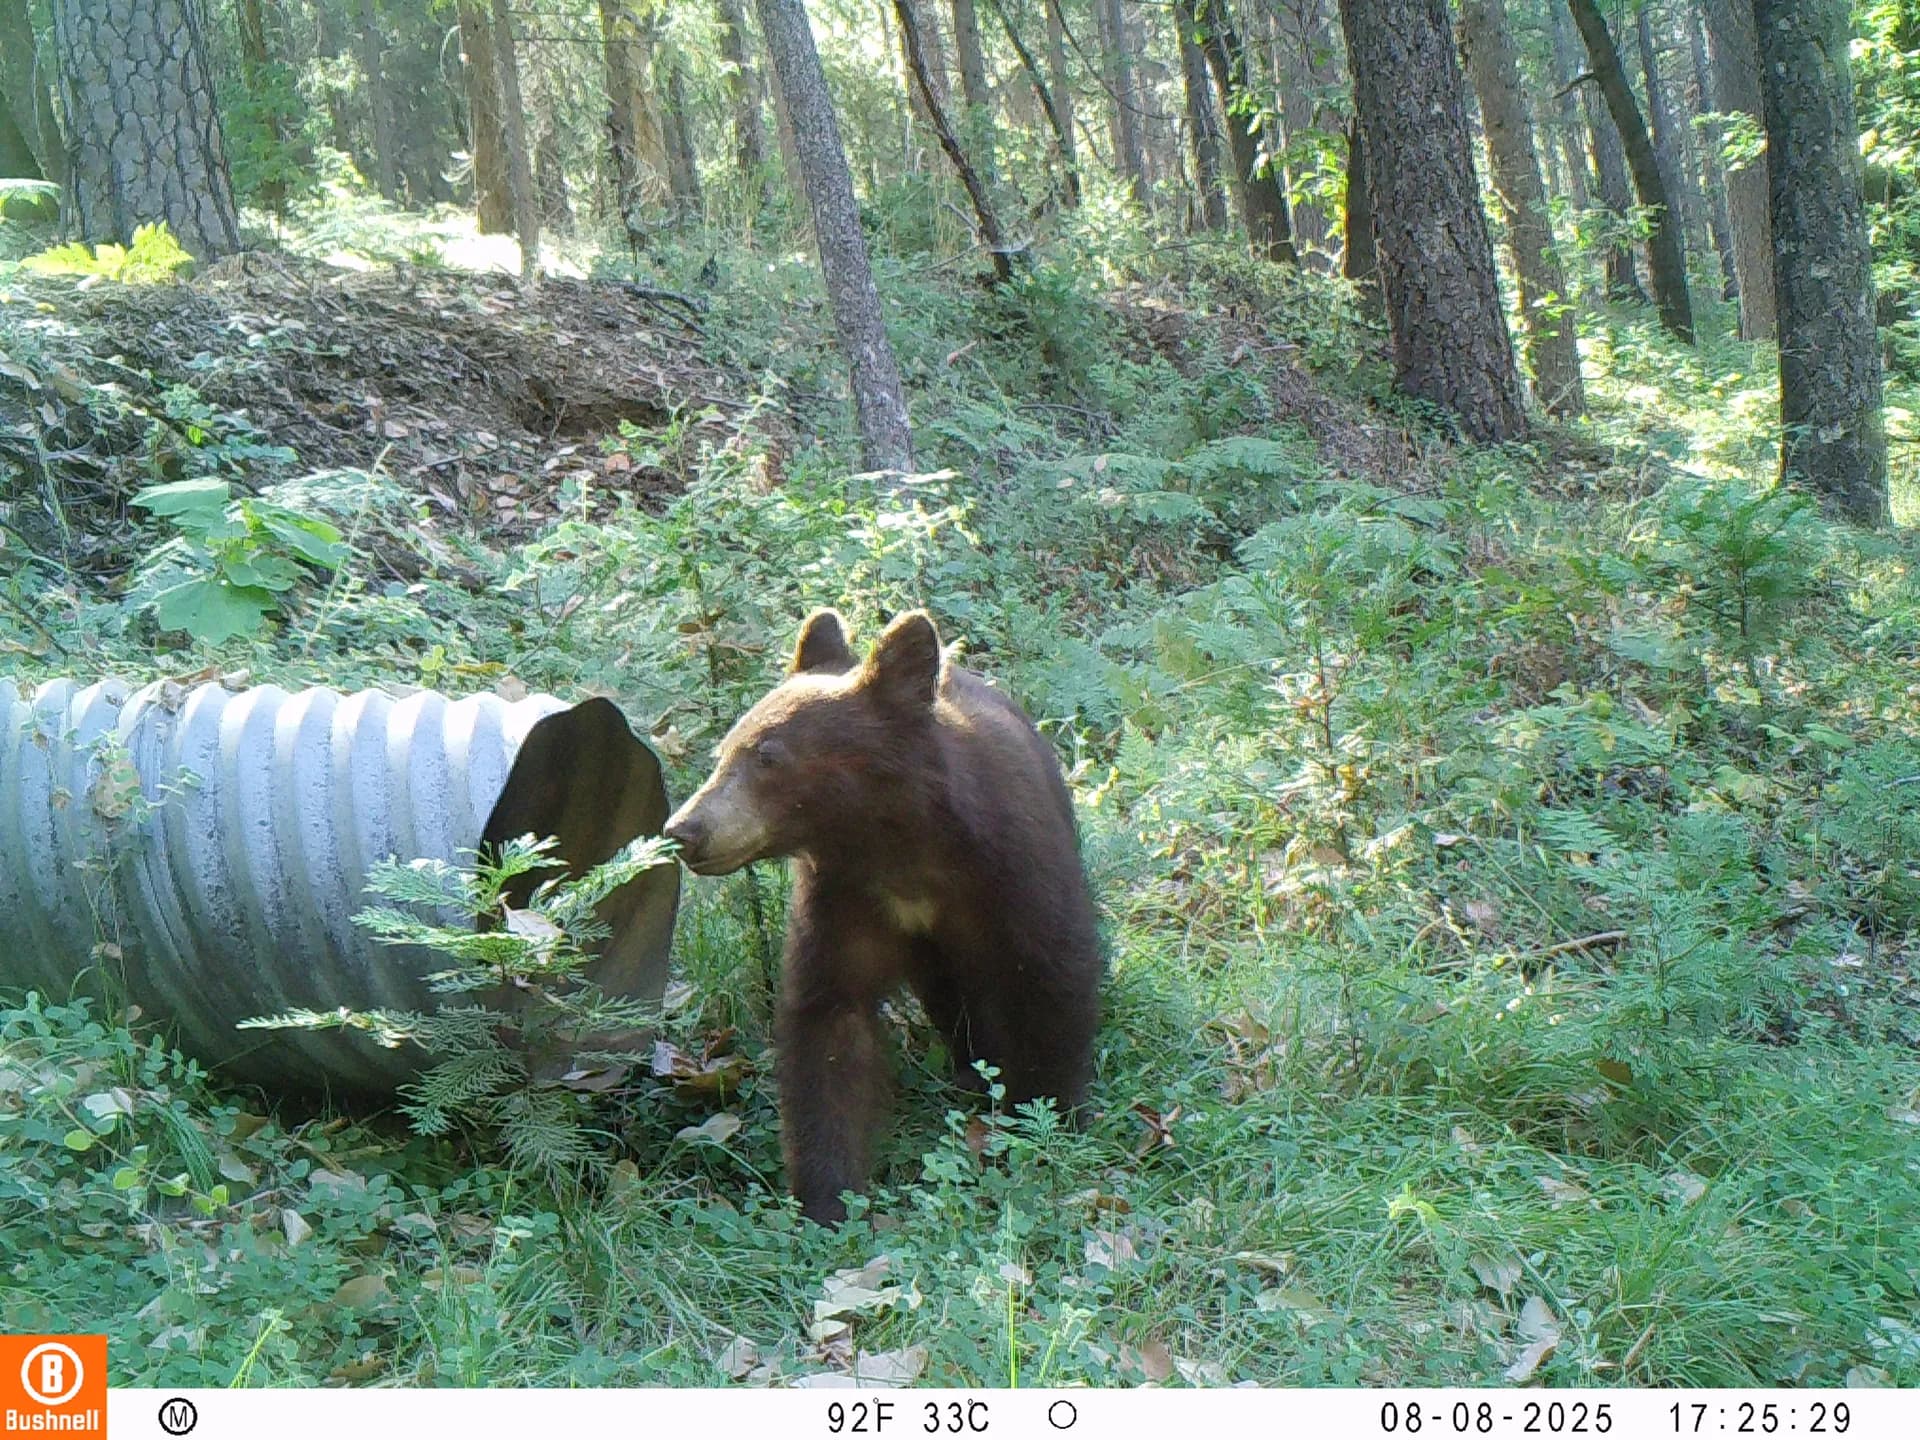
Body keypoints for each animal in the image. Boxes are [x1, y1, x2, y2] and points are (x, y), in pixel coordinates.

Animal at [662, 608, 1103, 1222]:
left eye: (768, 755)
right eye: (723, 751)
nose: (685, 830)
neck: (900, 847)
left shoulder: (1012, 872)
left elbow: (1049, 976)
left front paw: (1043, 1120)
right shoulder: (844, 898)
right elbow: (830, 1023)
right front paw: (829, 1199)